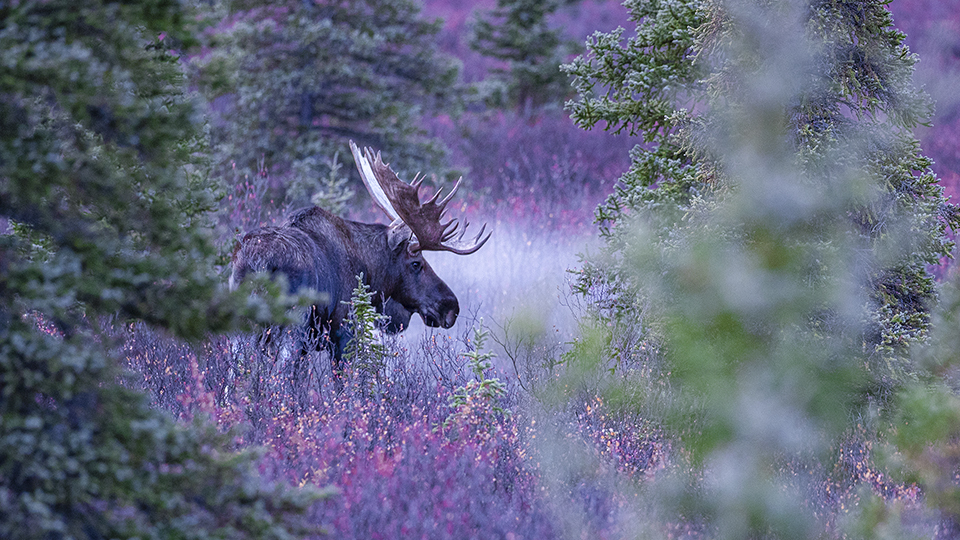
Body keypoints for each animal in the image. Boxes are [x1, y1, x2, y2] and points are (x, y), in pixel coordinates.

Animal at [229, 141, 492, 374]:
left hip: (240, 327)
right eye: (416, 263)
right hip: (292, 325)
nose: (451, 307)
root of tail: (258, 264)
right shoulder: (343, 331)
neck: (368, 271)